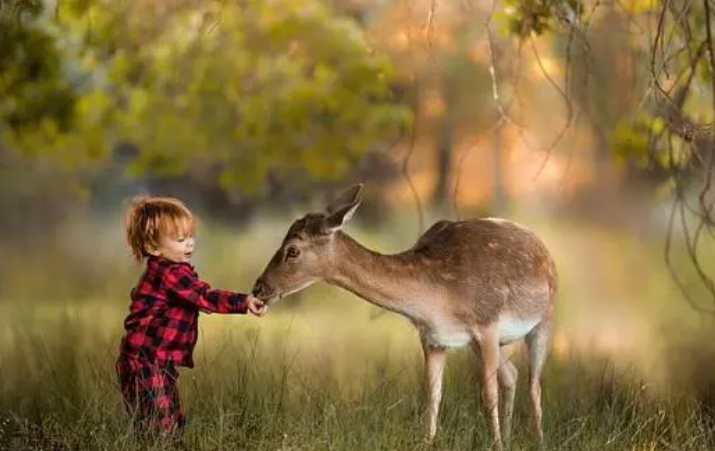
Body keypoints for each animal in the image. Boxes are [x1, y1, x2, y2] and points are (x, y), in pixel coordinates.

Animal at [252, 183, 560, 448]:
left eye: (292, 250)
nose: (259, 287)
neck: (438, 299)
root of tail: (543, 247)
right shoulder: (434, 339)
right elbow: (432, 398)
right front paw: (429, 442)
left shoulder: (486, 323)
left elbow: (488, 396)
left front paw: (495, 446)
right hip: (493, 342)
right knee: (512, 375)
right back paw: (509, 437)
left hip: (544, 320)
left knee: (534, 385)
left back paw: (538, 441)